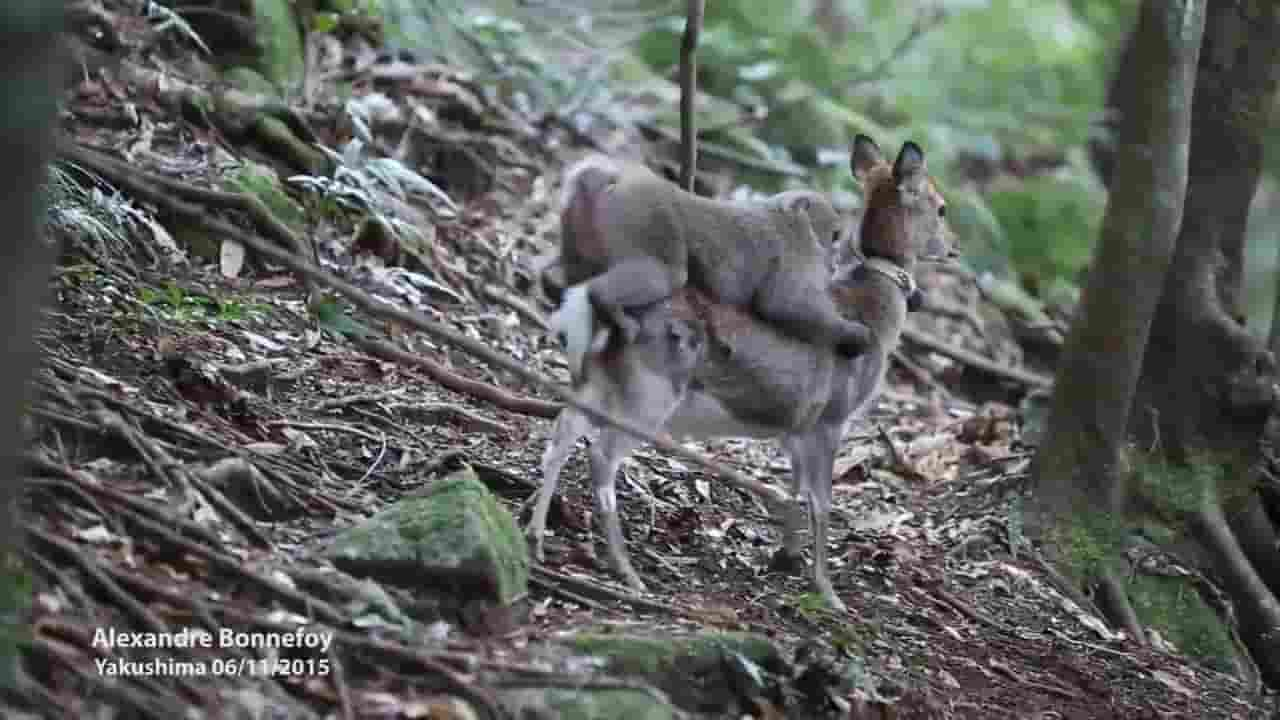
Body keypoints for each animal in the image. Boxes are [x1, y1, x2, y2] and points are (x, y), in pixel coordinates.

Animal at [540, 156, 870, 376]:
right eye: (835, 235)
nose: (834, 262)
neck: (789, 219)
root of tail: (612, 179)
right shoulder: (795, 251)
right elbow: (783, 305)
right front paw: (852, 335)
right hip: (646, 217)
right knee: (668, 274)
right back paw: (608, 306)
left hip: (579, 220)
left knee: (571, 269)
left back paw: (556, 286)